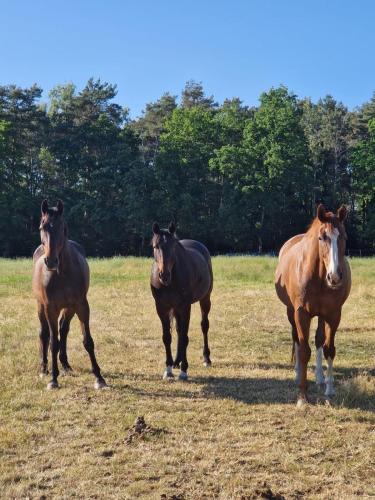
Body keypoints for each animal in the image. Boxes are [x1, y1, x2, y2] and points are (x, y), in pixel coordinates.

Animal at [31, 199, 106, 390]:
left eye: (62, 227)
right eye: (42, 226)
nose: (51, 261)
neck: (62, 273)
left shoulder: (81, 305)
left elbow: (87, 340)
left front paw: (99, 378)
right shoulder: (50, 308)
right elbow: (53, 342)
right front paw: (53, 379)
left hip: (69, 308)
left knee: (63, 329)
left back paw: (65, 365)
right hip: (40, 306)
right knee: (44, 333)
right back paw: (44, 368)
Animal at [151, 221, 214, 380]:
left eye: (173, 246)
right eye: (155, 246)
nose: (164, 275)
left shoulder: (185, 307)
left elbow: (185, 337)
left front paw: (184, 370)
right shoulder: (162, 308)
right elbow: (167, 337)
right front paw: (168, 369)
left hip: (205, 299)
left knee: (204, 326)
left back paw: (206, 359)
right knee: (179, 330)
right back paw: (176, 361)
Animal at [276, 205, 352, 404]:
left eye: (344, 236)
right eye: (322, 237)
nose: (335, 277)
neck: (318, 276)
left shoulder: (333, 315)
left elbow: (329, 349)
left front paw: (330, 389)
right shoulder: (301, 313)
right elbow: (303, 350)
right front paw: (302, 396)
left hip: (321, 315)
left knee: (319, 340)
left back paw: (319, 377)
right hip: (291, 311)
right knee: (296, 338)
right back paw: (297, 374)